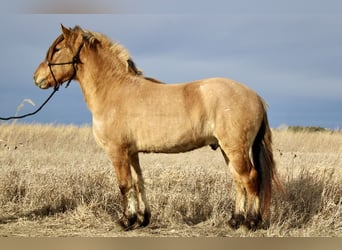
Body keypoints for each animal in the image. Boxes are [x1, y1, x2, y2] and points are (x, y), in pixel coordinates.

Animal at [33, 24, 282, 230]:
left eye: (57, 49)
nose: (37, 78)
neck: (114, 90)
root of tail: (255, 96)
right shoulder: (131, 152)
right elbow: (138, 182)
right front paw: (142, 219)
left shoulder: (117, 151)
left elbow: (124, 184)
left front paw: (126, 221)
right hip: (226, 149)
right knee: (238, 181)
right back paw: (234, 220)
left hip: (235, 149)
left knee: (250, 178)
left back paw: (251, 222)